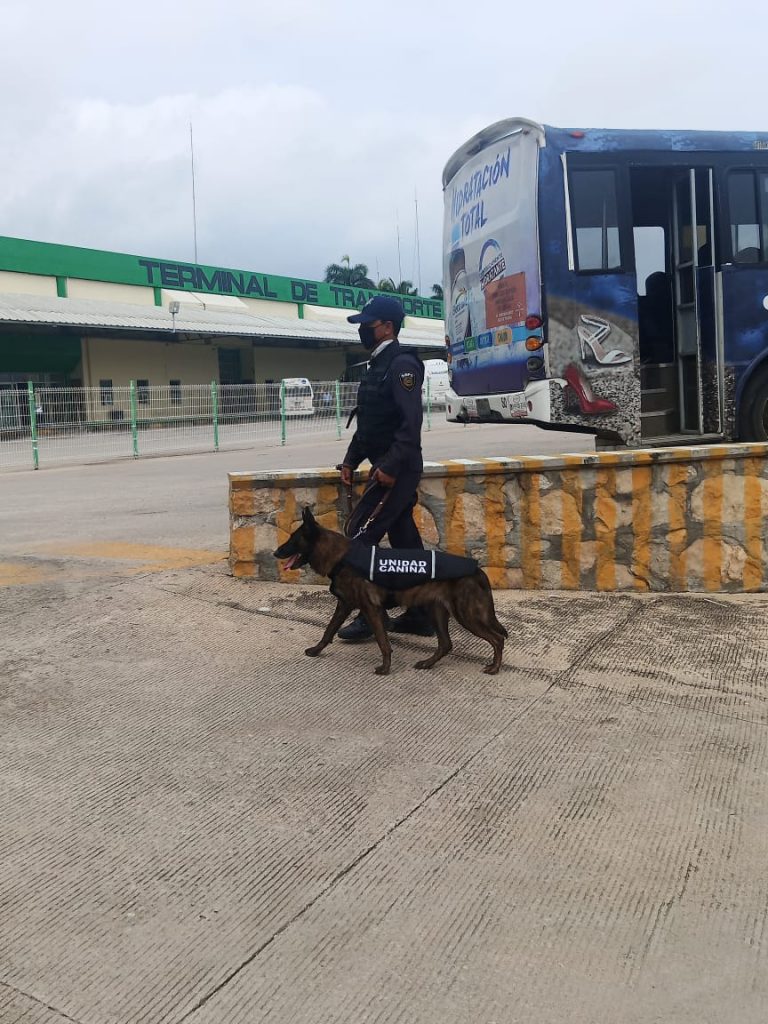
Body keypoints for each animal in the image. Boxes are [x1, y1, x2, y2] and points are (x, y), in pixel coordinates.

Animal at [274, 507, 507, 675]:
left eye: (293, 539)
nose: (276, 552)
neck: (341, 557)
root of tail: (477, 570)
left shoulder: (371, 609)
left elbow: (383, 642)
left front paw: (385, 668)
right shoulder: (345, 605)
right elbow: (329, 630)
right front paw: (316, 650)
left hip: (467, 616)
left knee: (498, 639)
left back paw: (494, 668)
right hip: (437, 611)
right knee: (446, 644)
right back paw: (427, 663)